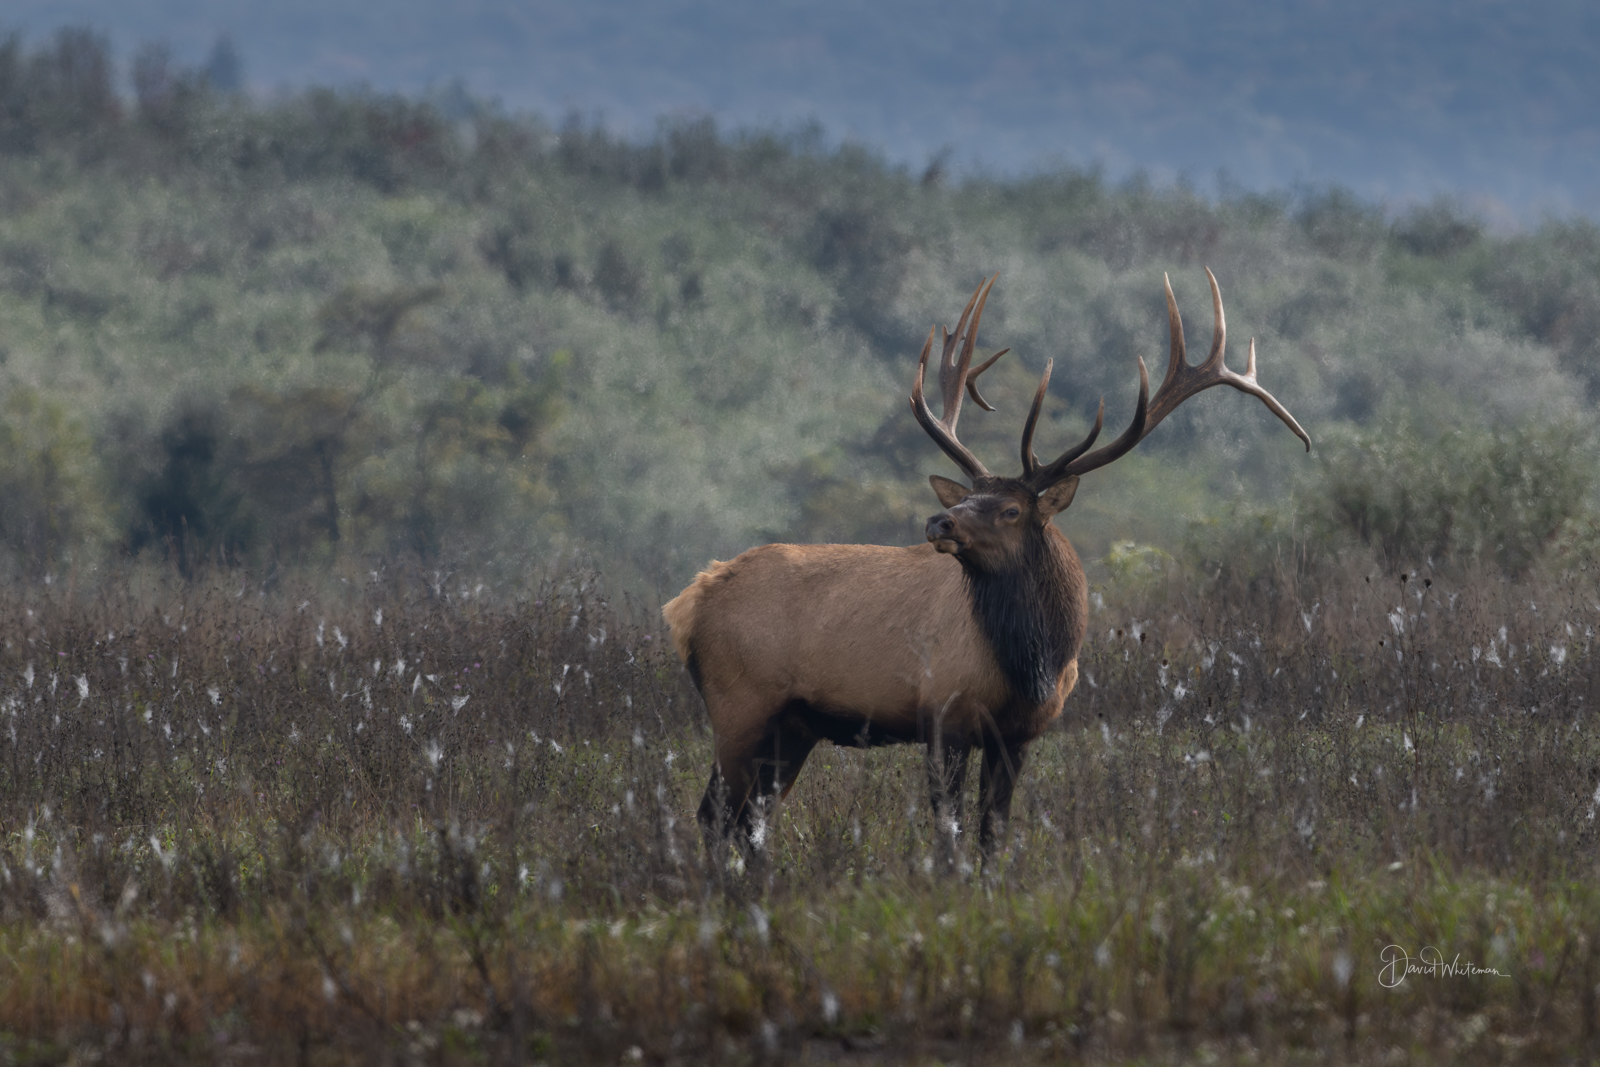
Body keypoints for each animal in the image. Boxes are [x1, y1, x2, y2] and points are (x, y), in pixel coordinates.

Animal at [662, 270, 1309, 865]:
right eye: (967, 496)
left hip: (793, 725)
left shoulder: (1019, 734)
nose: (938, 522)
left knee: (751, 818)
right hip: (739, 704)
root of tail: (687, 601)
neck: (1032, 663)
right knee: (715, 814)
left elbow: (993, 832)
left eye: (1010, 508)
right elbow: (948, 835)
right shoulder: (942, 714)